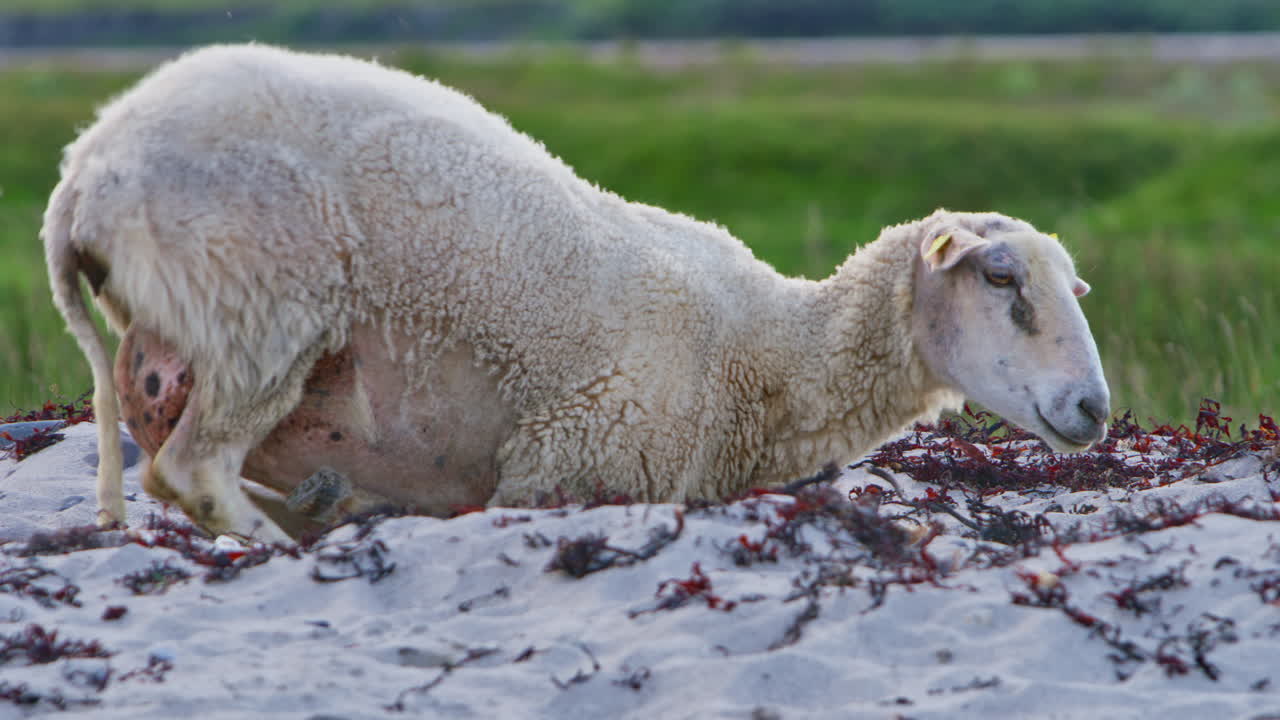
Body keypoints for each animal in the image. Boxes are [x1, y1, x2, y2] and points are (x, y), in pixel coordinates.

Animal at [44, 44, 1110, 543]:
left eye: (1076, 286)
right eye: (1003, 278)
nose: (1095, 409)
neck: (772, 350)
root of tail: (84, 168)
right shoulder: (572, 461)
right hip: (258, 304)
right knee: (192, 472)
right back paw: (282, 541)